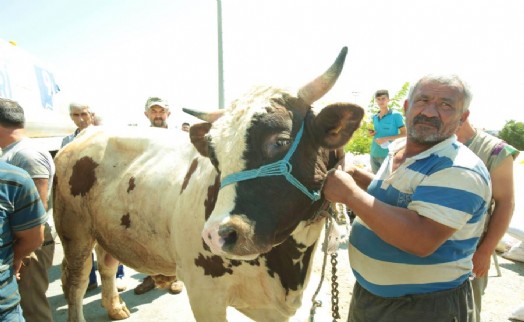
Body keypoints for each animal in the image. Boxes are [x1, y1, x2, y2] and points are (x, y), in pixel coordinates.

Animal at [53, 47, 364, 322]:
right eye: (214, 155)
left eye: (280, 141)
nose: (218, 235)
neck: (287, 269)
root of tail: (87, 133)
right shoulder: (204, 292)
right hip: (74, 230)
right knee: (75, 282)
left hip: (106, 229)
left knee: (107, 265)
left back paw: (115, 307)